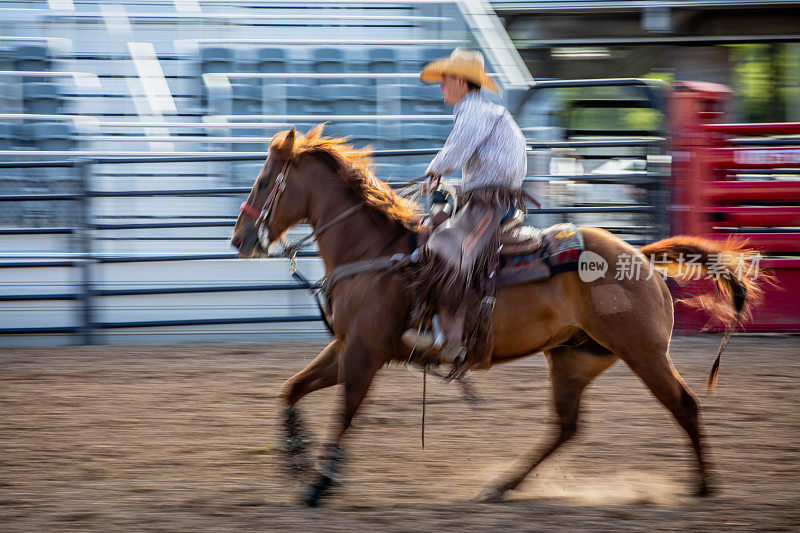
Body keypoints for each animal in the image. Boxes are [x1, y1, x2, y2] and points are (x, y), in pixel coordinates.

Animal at [230, 127, 764, 504]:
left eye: (264, 180)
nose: (240, 239)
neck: (374, 251)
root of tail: (642, 257)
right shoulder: (347, 347)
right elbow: (291, 388)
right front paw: (295, 456)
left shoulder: (365, 352)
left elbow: (343, 413)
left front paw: (320, 482)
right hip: (575, 358)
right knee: (565, 427)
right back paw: (501, 486)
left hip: (644, 353)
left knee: (684, 406)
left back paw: (704, 486)